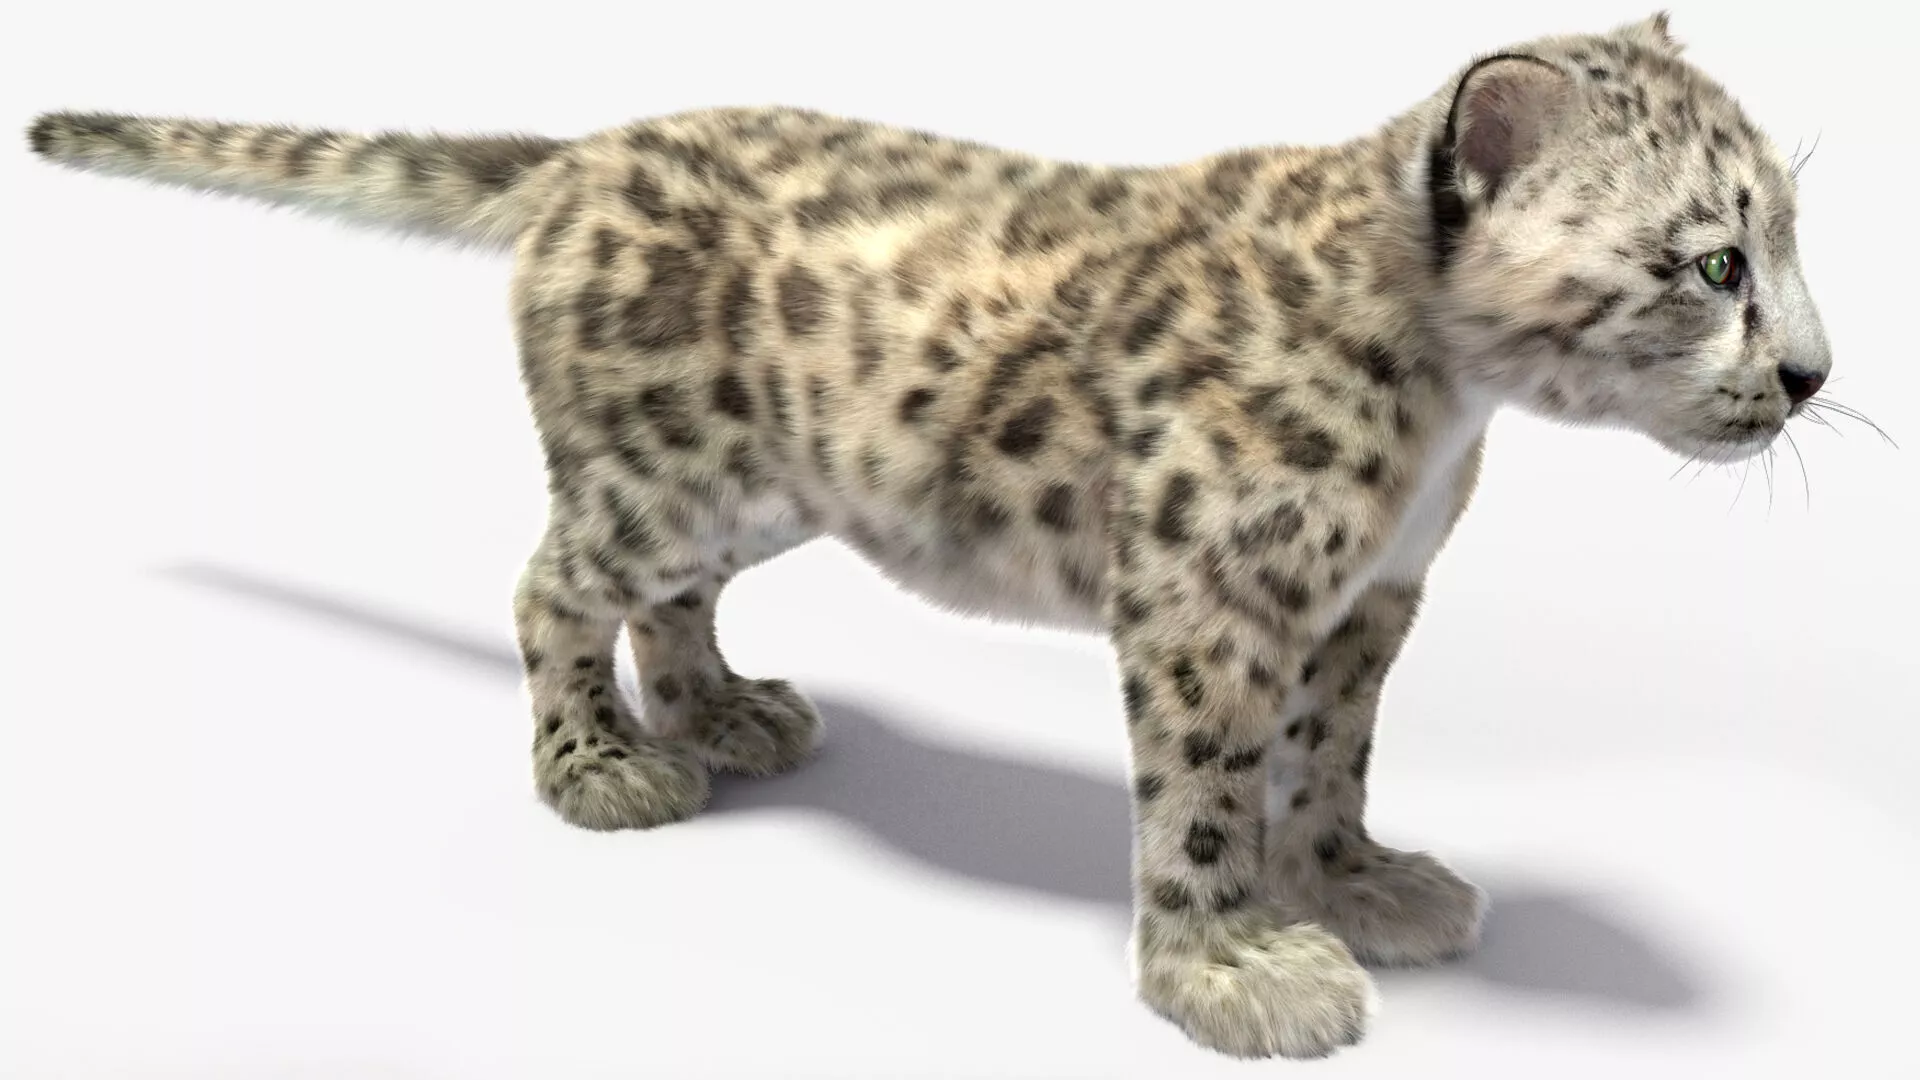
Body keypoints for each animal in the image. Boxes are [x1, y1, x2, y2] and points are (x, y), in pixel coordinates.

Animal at [26, 11, 1831, 1059]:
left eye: (1791, 239)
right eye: (1714, 264)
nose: (1816, 374)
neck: (1447, 410)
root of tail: (583, 156)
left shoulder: (1367, 607)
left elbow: (1329, 757)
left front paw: (1356, 878)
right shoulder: (1211, 606)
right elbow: (1203, 798)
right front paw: (1236, 964)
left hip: (756, 496)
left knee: (663, 604)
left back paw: (727, 713)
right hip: (659, 478)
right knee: (546, 585)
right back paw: (602, 766)